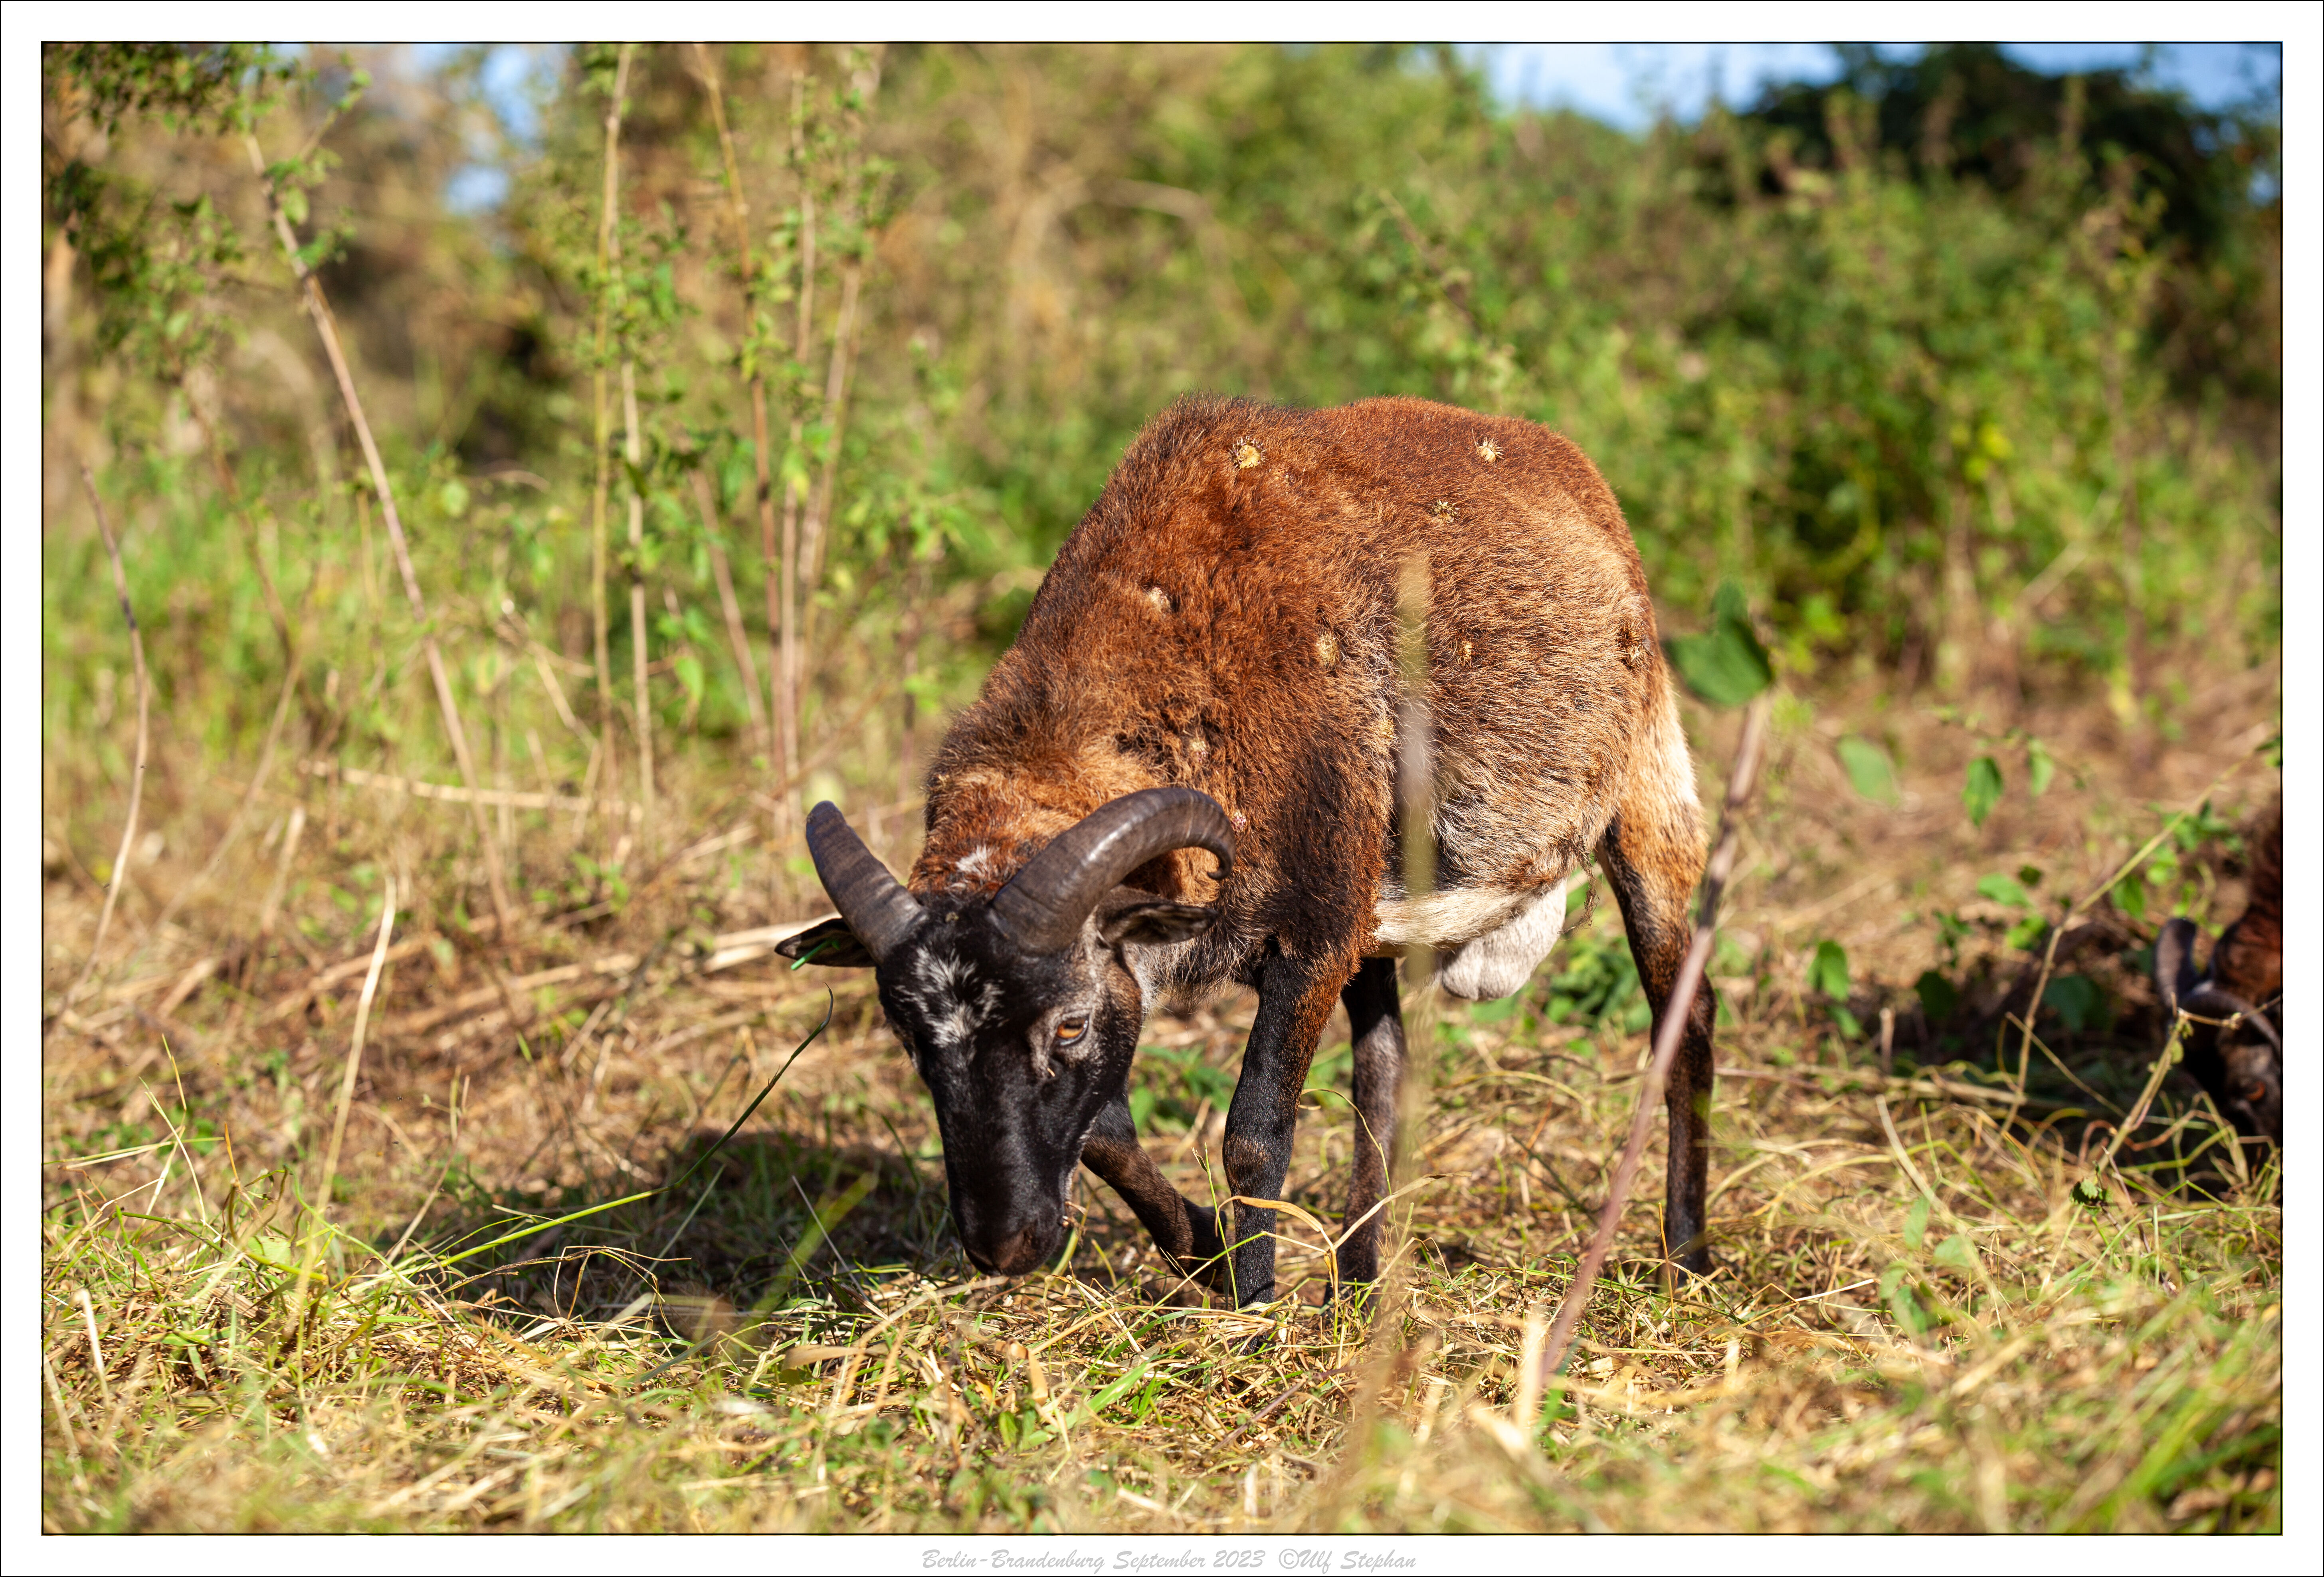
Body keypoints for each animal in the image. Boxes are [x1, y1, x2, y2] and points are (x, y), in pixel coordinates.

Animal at [779, 394, 1718, 1308]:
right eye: (909, 1038)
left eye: (1068, 1026)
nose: (1003, 1248)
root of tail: (1553, 454)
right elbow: (1108, 1130)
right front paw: (1203, 1251)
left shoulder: (1313, 937)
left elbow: (1254, 1135)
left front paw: (1252, 1303)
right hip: (1376, 902)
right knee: (1384, 1071)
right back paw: (1357, 1288)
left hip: (1643, 797)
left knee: (1688, 1019)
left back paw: (1687, 1258)